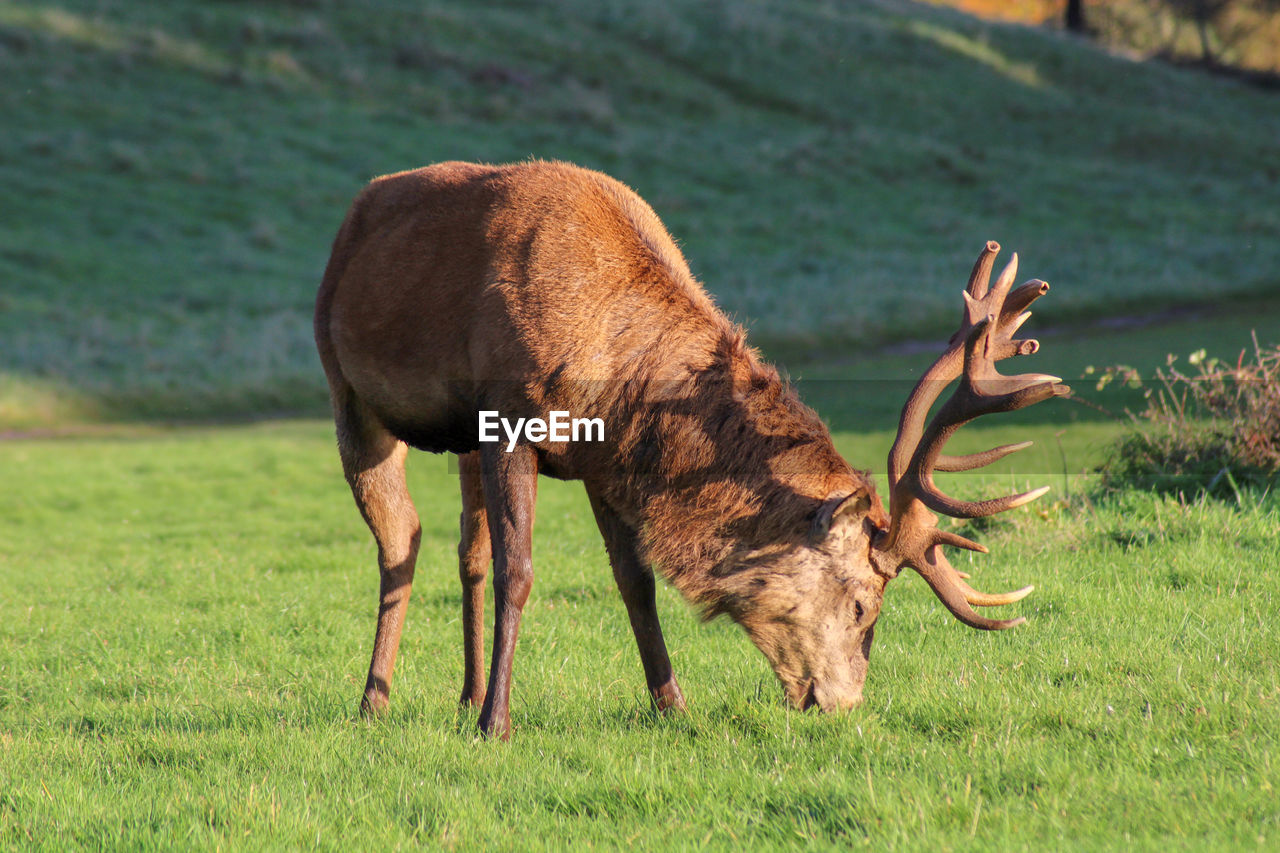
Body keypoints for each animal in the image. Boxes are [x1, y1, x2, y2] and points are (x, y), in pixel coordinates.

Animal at [312, 159, 1070, 737]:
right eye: (863, 605)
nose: (845, 702)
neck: (613, 373)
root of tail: (356, 209)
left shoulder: (600, 458)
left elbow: (636, 581)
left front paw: (673, 704)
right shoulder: (511, 419)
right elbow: (519, 570)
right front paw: (496, 723)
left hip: (462, 439)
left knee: (464, 547)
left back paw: (463, 691)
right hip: (347, 390)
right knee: (402, 538)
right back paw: (376, 699)